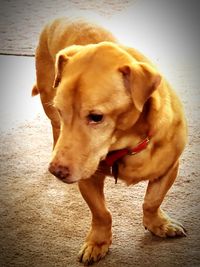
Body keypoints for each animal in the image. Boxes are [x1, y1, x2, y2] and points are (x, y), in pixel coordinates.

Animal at [32, 18, 188, 266]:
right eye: (61, 110)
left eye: (96, 117)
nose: (56, 171)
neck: (128, 146)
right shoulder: (88, 179)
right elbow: (101, 214)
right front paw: (98, 242)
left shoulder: (170, 168)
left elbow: (152, 201)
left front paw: (158, 224)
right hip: (47, 96)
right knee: (55, 128)